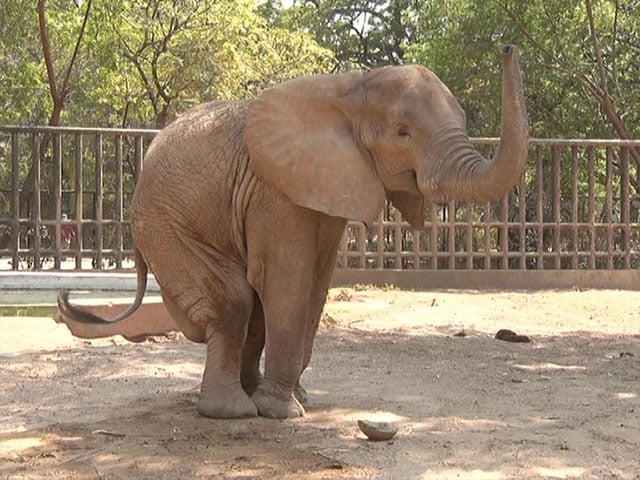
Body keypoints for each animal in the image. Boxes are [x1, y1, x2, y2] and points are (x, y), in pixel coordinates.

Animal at [57, 45, 528, 420]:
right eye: (402, 132)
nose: (507, 46)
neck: (349, 89)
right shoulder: (274, 189)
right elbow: (287, 280)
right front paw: (284, 414)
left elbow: (316, 285)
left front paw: (301, 399)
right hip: (164, 225)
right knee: (235, 301)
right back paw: (233, 410)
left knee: (251, 308)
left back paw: (249, 395)